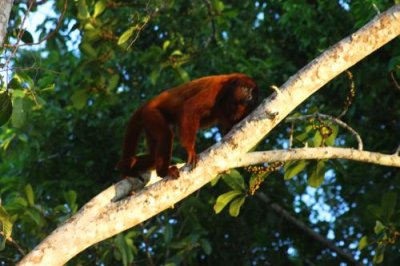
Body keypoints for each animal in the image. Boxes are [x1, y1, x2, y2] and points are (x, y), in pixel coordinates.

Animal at [115, 73, 260, 179]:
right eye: (246, 89)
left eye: (253, 93)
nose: (249, 97)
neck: (229, 88)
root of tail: (146, 105)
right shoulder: (216, 88)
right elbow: (190, 107)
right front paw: (190, 150)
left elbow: (228, 126)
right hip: (151, 113)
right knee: (165, 135)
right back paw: (163, 172)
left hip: (148, 122)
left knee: (153, 156)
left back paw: (125, 165)